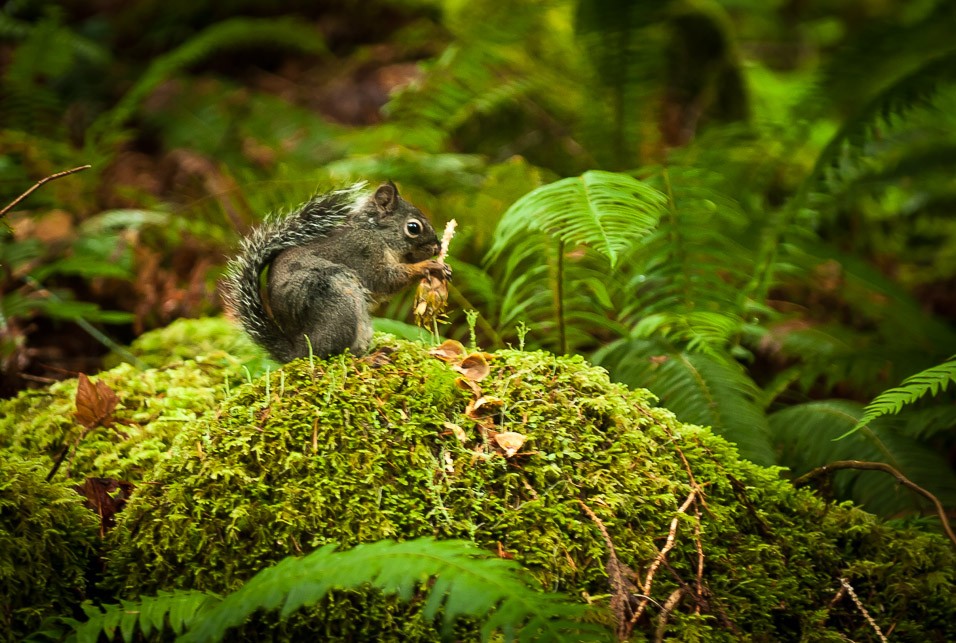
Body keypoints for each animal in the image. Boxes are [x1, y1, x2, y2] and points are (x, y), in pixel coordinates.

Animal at [224, 182, 452, 362]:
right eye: (413, 227)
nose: (437, 248)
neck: (376, 233)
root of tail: (299, 352)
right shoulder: (363, 253)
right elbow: (385, 280)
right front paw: (428, 266)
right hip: (339, 300)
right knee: (333, 354)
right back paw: (369, 359)